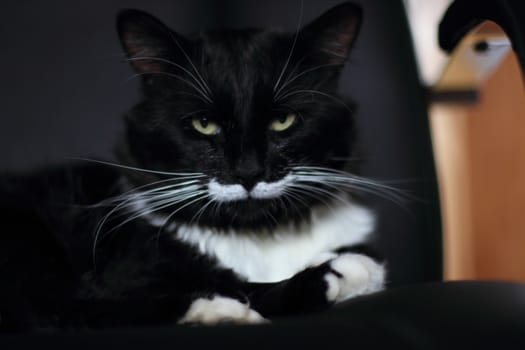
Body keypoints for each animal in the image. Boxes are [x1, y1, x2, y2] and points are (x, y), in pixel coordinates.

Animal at [0, 2, 384, 330]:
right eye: (204, 124)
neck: (261, 235)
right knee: (60, 310)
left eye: (283, 121)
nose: (248, 172)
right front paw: (343, 269)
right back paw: (218, 311)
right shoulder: (126, 265)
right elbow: (235, 283)